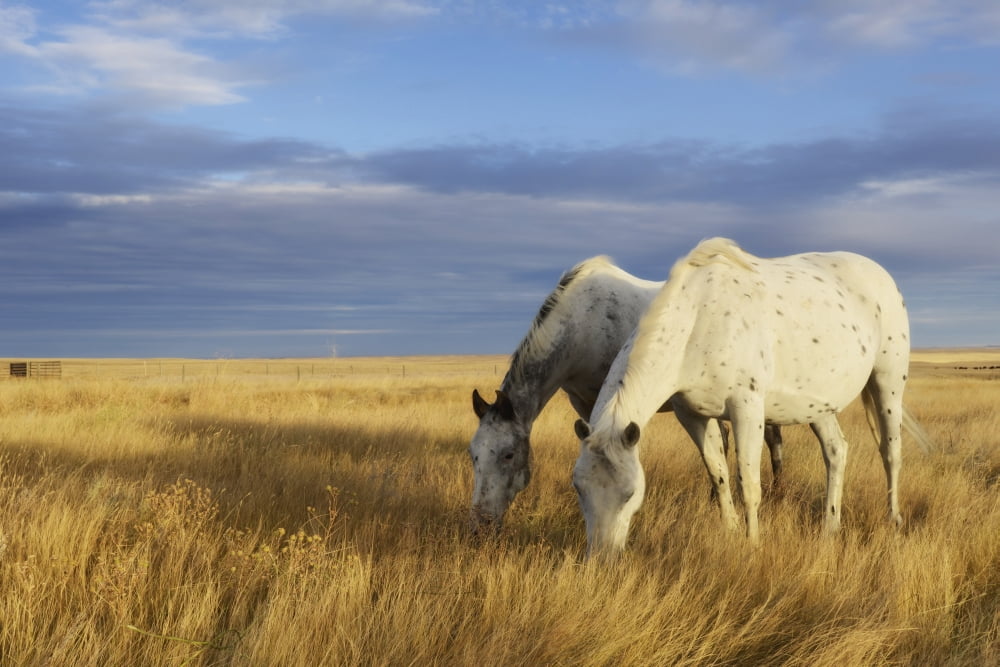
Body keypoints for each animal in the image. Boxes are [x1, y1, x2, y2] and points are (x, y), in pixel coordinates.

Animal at [468, 255, 785, 535]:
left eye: (508, 455)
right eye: (473, 455)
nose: (481, 524)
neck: (583, 321)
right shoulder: (583, 402)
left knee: (772, 440)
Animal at [572, 238, 934, 557]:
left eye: (630, 493)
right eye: (578, 487)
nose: (602, 557)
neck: (699, 321)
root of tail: (879, 273)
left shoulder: (746, 408)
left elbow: (748, 483)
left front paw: (753, 544)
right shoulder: (693, 416)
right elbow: (718, 475)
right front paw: (731, 533)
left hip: (888, 383)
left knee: (891, 452)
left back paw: (894, 518)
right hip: (819, 405)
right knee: (836, 452)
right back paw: (830, 527)